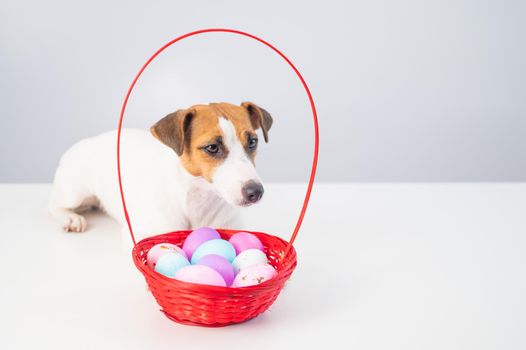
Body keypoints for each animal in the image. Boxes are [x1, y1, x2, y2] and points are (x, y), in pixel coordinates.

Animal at [47, 102, 274, 242]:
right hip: (75, 192)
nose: (256, 192)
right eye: (212, 147)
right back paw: (71, 218)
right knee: (53, 207)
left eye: (253, 142)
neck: (198, 200)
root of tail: (90, 140)